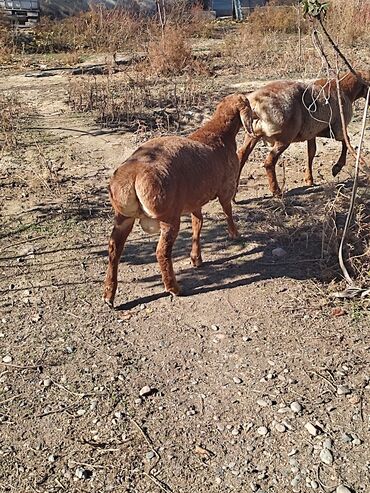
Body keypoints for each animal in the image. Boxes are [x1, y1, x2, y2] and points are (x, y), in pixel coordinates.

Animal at [102, 93, 253, 306]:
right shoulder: (225, 189)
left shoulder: (195, 200)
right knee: (161, 252)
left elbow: (198, 223)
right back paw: (174, 288)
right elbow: (227, 211)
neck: (218, 133)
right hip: (168, 215)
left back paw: (109, 294)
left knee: (114, 248)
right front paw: (234, 234)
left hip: (123, 216)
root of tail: (133, 176)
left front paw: (196, 258)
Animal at [236, 71, 368, 198]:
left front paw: (309, 179)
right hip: (284, 138)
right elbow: (347, 141)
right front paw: (337, 167)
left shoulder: (312, 133)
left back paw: (234, 193)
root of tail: (255, 105)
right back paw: (276, 191)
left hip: (252, 135)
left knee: (241, 155)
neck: (343, 88)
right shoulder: (337, 129)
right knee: (269, 161)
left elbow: (311, 152)